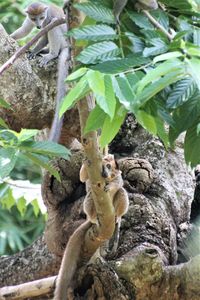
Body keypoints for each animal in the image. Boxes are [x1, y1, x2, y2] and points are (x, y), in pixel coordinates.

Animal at [10, 2, 69, 143]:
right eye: (33, 18)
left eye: (41, 17)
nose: (38, 25)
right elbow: (25, 30)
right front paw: (11, 36)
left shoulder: (47, 19)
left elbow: (45, 35)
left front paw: (34, 51)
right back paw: (45, 51)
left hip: (64, 40)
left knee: (54, 24)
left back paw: (52, 54)